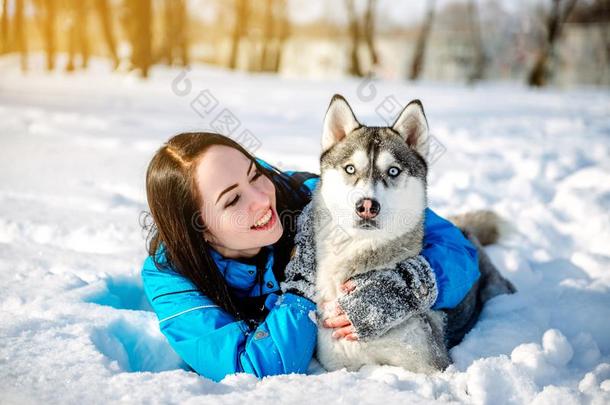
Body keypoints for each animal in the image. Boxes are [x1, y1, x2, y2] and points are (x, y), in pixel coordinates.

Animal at [306, 94, 516, 372]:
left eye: (393, 171)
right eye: (350, 169)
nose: (367, 206)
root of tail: (464, 230)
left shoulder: (433, 365)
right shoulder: (340, 364)